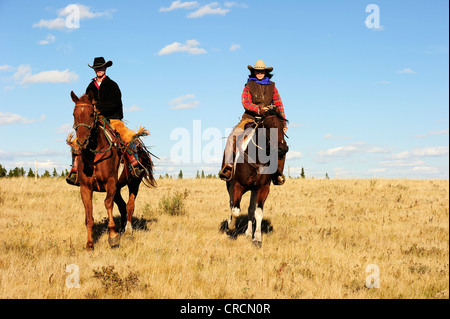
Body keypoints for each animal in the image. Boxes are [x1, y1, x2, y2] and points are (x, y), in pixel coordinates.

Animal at [69, 91, 156, 251]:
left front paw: (113, 237)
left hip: (134, 183)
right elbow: (89, 216)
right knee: (122, 206)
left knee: (129, 206)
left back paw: (127, 232)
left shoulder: (110, 183)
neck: (94, 156)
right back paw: (121, 229)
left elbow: (107, 204)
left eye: (91, 114)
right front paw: (89, 244)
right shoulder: (85, 188)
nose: (82, 141)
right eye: (74, 114)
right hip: (118, 188)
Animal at [225, 107, 288, 248]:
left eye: (282, 127)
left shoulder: (263, 188)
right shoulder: (237, 186)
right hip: (229, 186)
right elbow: (235, 210)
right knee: (231, 205)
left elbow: (258, 212)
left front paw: (257, 238)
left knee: (250, 209)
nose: (283, 149)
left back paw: (249, 233)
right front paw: (231, 228)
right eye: (268, 127)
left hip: (253, 190)